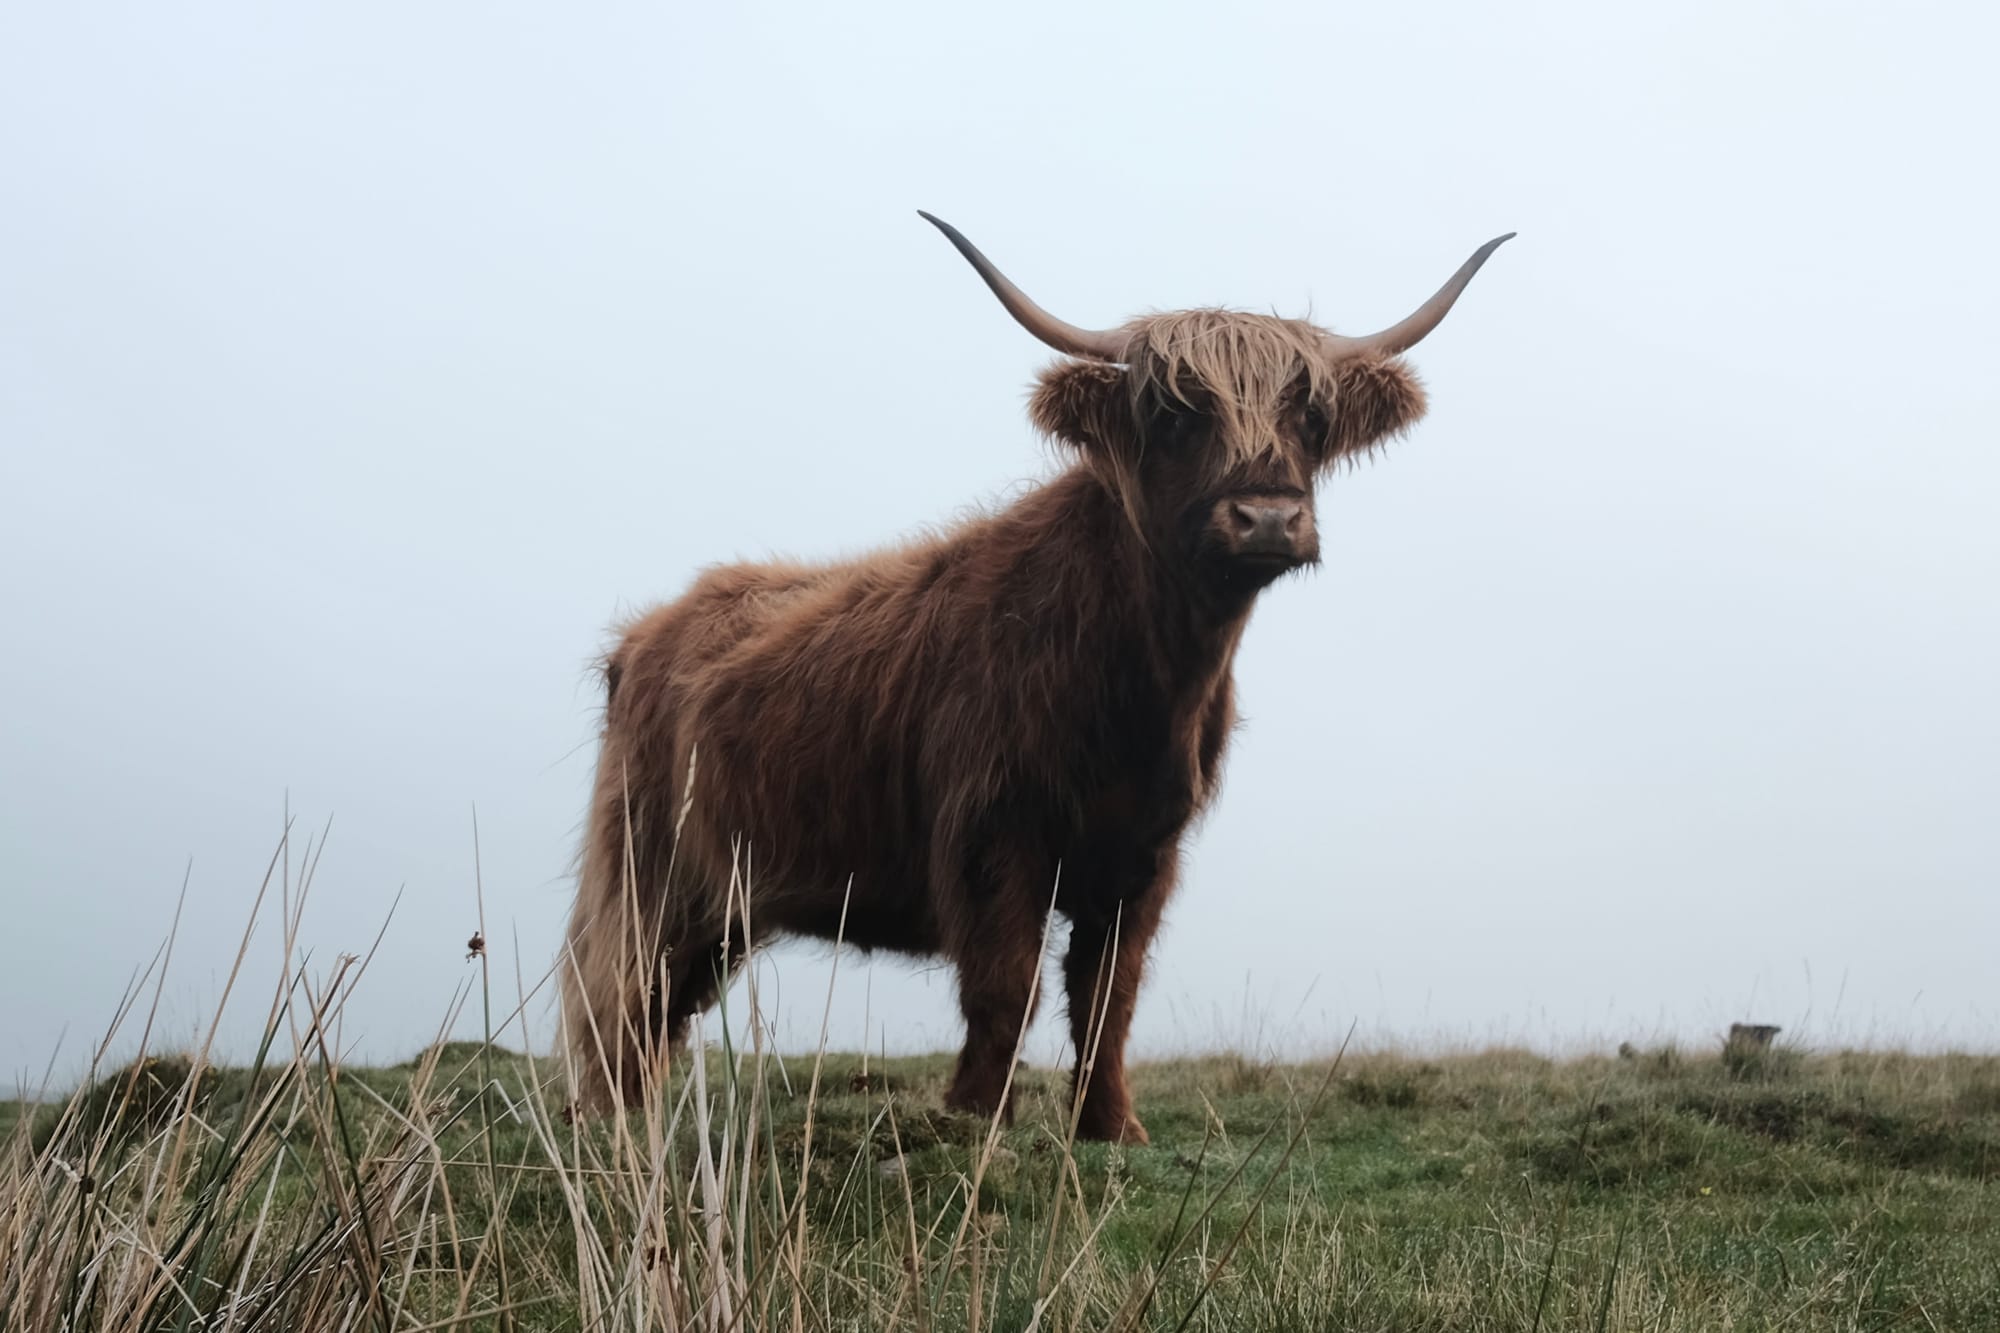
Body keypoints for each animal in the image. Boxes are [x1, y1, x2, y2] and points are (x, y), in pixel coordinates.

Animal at [556, 213, 1504, 1136]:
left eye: (1310, 416)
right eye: (1175, 416)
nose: (1266, 518)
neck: (1147, 680)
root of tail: (646, 632)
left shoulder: (1146, 849)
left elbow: (1109, 991)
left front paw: (1111, 1126)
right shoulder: (995, 830)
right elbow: (1006, 981)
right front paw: (982, 1117)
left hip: (725, 899)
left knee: (663, 999)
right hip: (649, 864)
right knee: (617, 984)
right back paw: (610, 1117)